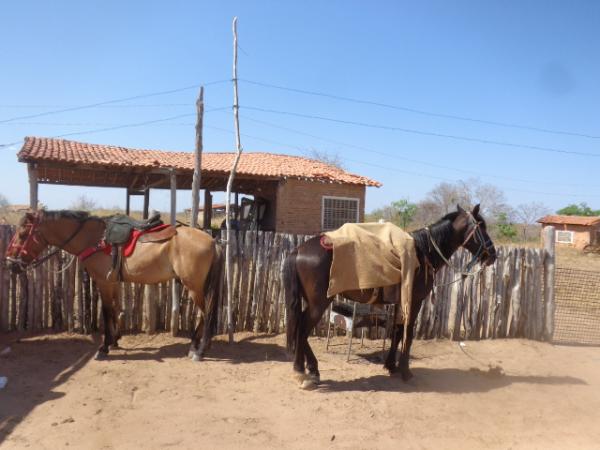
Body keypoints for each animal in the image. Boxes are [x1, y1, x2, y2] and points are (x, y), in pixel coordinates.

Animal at [5, 211, 221, 362]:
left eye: (23, 234)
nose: (10, 263)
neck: (94, 239)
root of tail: (212, 240)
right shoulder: (113, 282)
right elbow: (115, 309)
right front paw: (116, 340)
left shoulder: (104, 282)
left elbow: (107, 312)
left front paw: (104, 347)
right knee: (205, 314)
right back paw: (195, 345)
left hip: (193, 286)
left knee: (207, 312)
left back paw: (200, 350)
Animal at [284, 206, 496, 388]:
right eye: (482, 227)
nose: (493, 254)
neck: (422, 254)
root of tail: (298, 250)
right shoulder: (414, 301)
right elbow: (407, 334)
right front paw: (405, 371)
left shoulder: (399, 303)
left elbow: (396, 331)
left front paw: (391, 366)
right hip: (318, 303)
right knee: (302, 329)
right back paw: (301, 372)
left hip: (312, 302)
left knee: (300, 327)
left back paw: (312, 370)